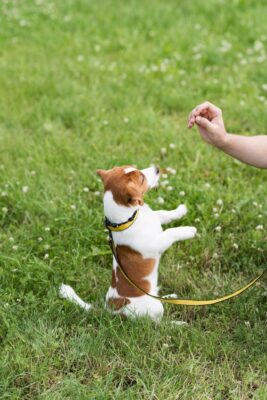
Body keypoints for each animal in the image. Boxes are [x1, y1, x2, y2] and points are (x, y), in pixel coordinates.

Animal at [60, 166, 197, 322]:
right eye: (142, 177)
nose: (157, 168)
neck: (129, 219)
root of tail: (112, 310)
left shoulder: (156, 217)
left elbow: (164, 213)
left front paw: (180, 210)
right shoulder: (156, 244)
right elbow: (170, 232)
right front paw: (188, 230)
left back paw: (169, 297)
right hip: (154, 309)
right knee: (157, 323)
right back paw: (177, 323)